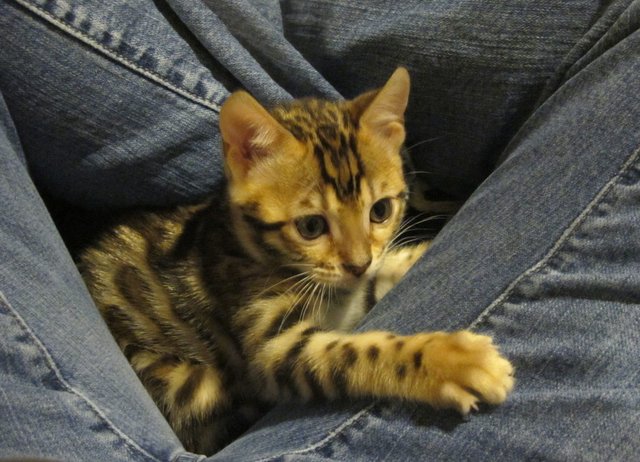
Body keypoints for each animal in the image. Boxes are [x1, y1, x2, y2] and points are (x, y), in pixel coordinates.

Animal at [77, 67, 512, 454]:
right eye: (311, 226)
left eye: (380, 211)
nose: (358, 264)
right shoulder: (272, 345)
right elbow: (355, 353)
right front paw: (450, 361)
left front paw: (409, 256)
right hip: (190, 383)